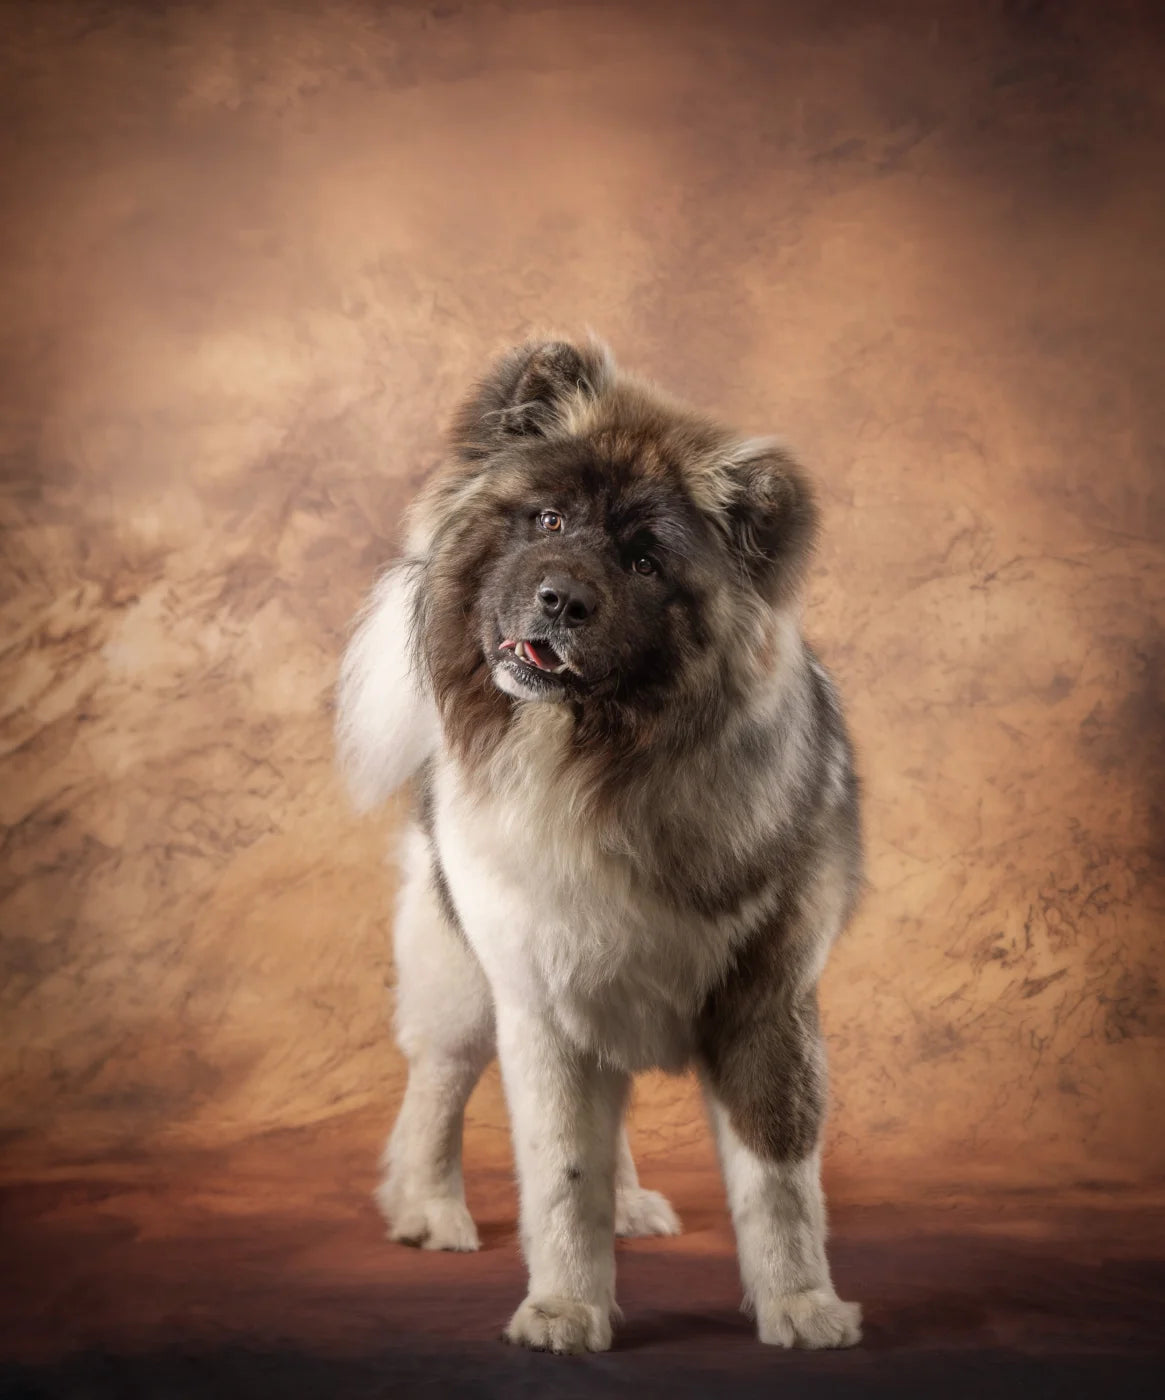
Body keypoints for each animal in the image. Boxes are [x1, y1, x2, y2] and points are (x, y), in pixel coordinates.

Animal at [336, 333, 862, 1349]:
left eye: (647, 562)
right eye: (546, 517)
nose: (560, 599)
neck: (598, 768)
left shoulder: (764, 1001)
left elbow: (778, 1179)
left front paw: (800, 1304)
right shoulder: (538, 999)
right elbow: (559, 1171)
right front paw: (564, 1308)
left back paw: (624, 1206)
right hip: (461, 977)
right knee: (435, 1088)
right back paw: (429, 1208)